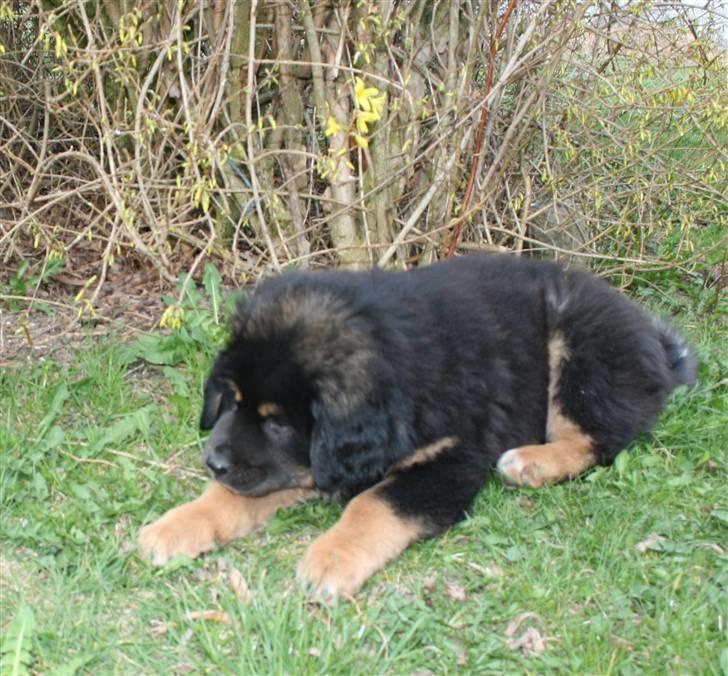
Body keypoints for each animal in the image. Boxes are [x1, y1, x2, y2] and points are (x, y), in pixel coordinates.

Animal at [138, 254, 700, 596]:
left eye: (276, 423)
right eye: (231, 402)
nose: (211, 461)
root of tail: (655, 343)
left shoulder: (451, 457)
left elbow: (373, 504)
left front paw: (330, 559)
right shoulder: (293, 467)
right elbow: (236, 494)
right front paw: (175, 526)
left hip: (577, 339)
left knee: (595, 437)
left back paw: (531, 463)